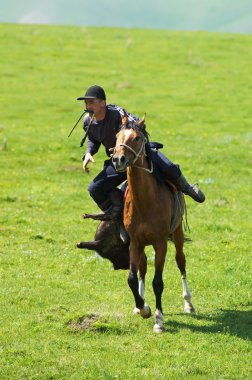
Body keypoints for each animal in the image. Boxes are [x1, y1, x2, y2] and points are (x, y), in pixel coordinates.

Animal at [112, 115, 195, 332]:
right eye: (117, 136)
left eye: (137, 138)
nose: (118, 159)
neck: (145, 201)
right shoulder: (135, 242)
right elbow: (132, 278)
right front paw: (143, 308)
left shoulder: (161, 243)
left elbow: (158, 282)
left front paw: (158, 320)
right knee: (142, 269)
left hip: (177, 233)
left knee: (181, 261)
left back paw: (189, 303)